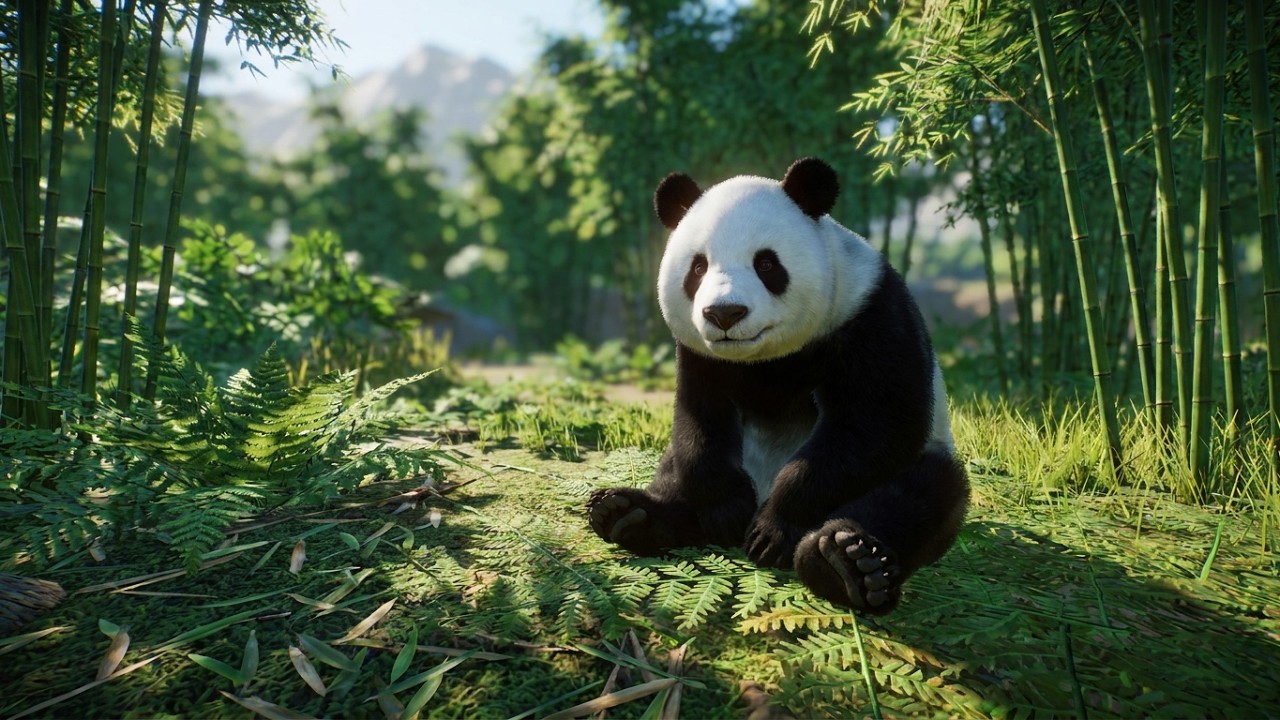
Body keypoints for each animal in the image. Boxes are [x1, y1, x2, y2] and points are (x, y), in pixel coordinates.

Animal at [587, 157, 969, 615]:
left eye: (766, 264)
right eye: (698, 267)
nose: (725, 313)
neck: (766, 358)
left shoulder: (870, 314)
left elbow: (875, 424)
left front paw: (774, 531)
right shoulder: (699, 356)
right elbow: (700, 421)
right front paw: (727, 512)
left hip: (926, 458)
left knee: (919, 496)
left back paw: (845, 564)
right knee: (677, 470)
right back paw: (629, 514)